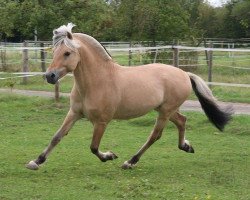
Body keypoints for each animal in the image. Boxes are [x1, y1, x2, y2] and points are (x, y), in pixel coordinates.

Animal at [25, 23, 232, 170]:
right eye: (55, 52)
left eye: (67, 53)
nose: (50, 76)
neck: (97, 82)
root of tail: (184, 74)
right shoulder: (74, 113)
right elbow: (57, 137)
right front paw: (36, 161)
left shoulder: (101, 122)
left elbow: (93, 147)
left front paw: (109, 156)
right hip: (166, 109)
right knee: (182, 120)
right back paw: (186, 146)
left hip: (165, 112)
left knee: (155, 135)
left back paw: (130, 161)